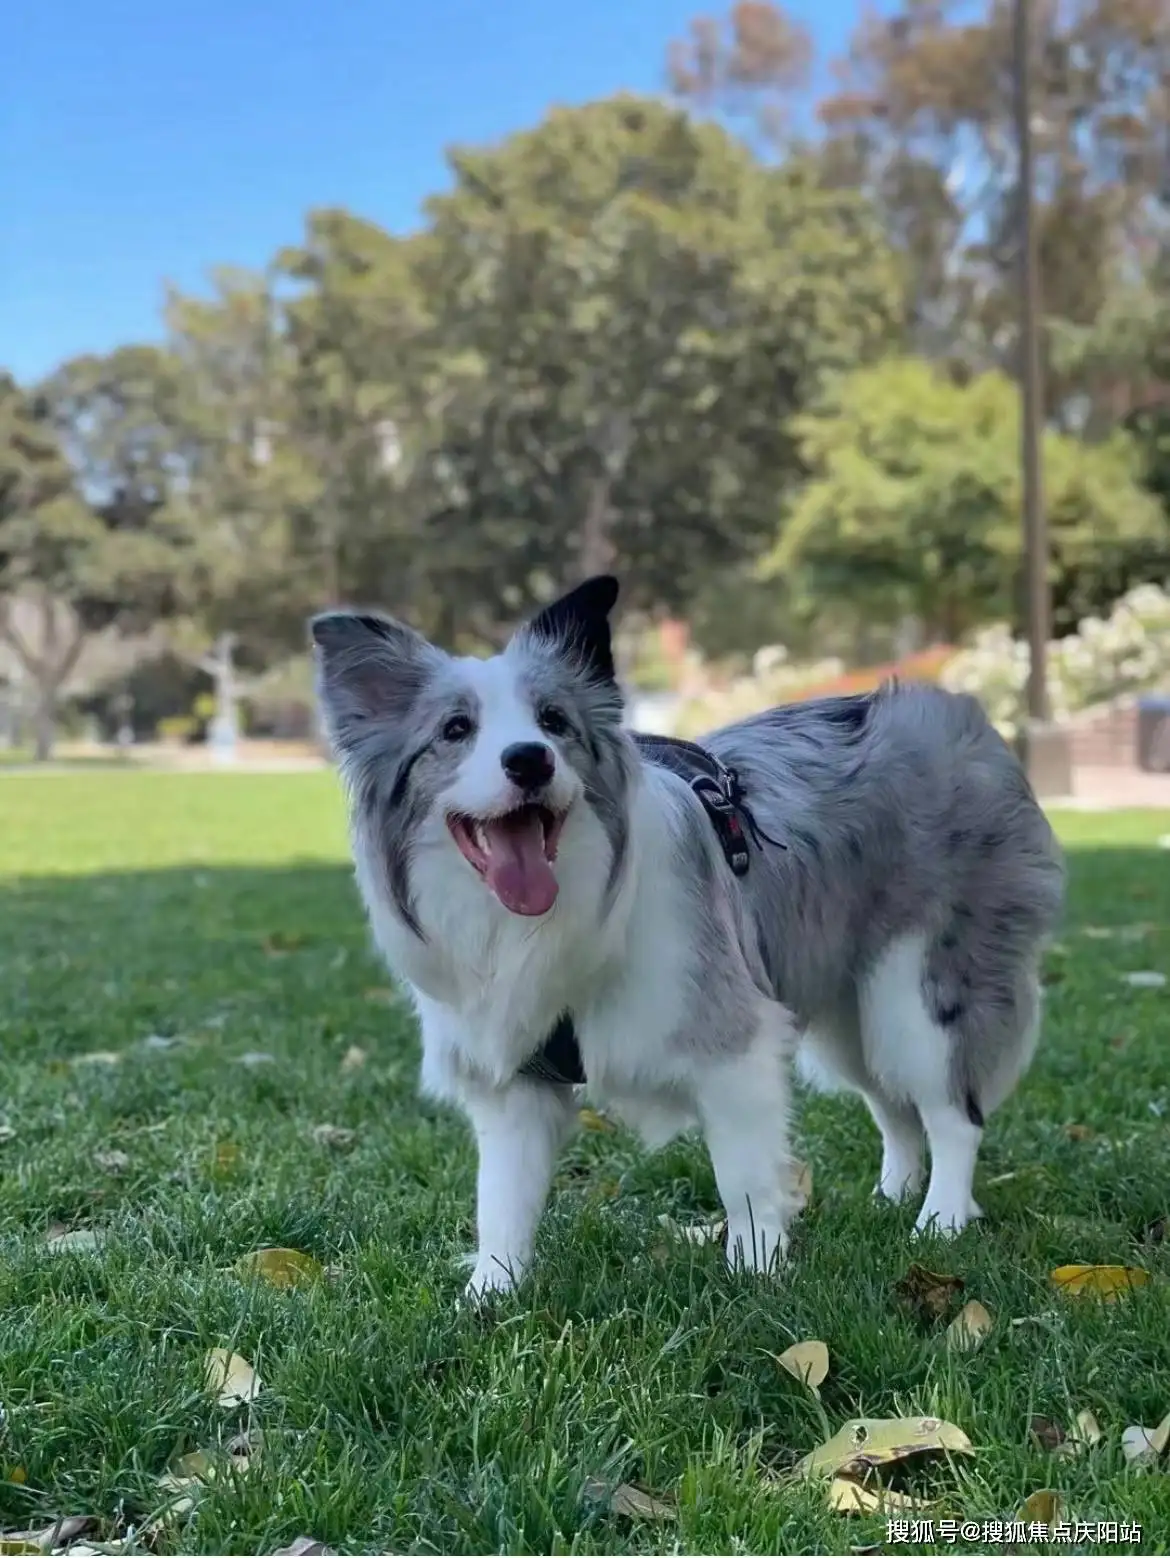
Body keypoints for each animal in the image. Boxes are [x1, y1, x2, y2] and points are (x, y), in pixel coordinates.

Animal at [313, 579, 1071, 1296]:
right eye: (455, 729)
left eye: (554, 722)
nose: (529, 760)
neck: (538, 926)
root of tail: (961, 715)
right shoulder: (516, 1083)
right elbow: (501, 1202)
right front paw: (490, 1296)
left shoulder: (734, 1044)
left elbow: (743, 1178)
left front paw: (758, 1275)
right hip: (847, 1010)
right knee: (894, 1107)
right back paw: (890, 1199)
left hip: (915, 991)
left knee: (951, 1110)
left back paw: (939, 1222)